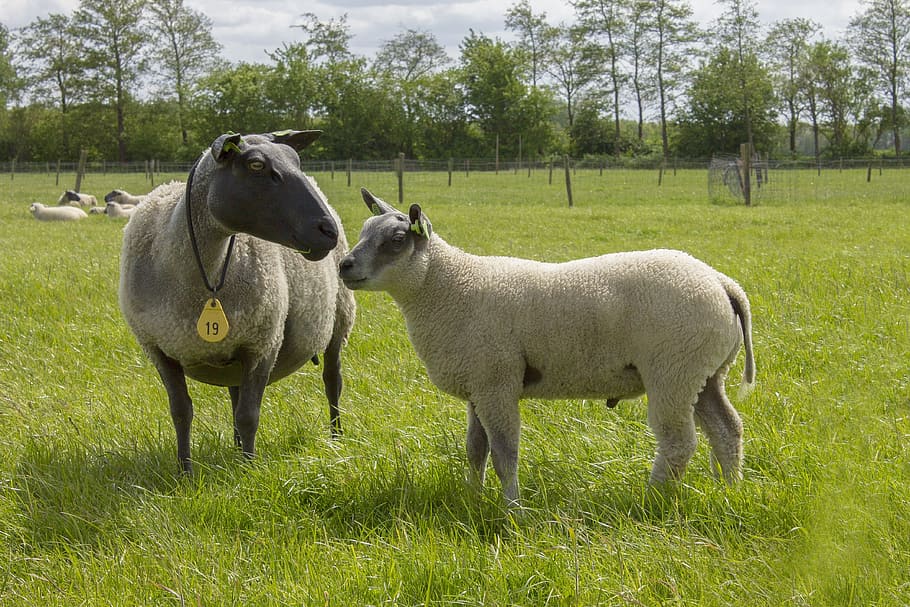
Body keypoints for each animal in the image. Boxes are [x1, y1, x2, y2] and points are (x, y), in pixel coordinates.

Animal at [119, 130, 356, 474]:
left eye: (296, 160)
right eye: (256, 165)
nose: (328, 231)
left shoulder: (263, 342)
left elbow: (248, 415)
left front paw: (249, 470)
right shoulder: (158, 348)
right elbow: (181, 411)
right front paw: (185, 471)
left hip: (340, 317)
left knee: (332, 380)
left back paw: (336, 437)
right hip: (232, 347)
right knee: (235, 392)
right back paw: (234, 446)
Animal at [339, 189, 755, 508]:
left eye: (396, 240)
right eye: (363, 231)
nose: (343, 265)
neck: (448, 287)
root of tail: (722, 283)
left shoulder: (497, 385)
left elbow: (504, 453)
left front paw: (512, 509)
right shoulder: (477, 387)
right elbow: (475, 450)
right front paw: (473, 498)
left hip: (672, 370)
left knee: (678, 442)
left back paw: (650, 498)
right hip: (704, 373)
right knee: (726, 430)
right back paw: (729, 490)